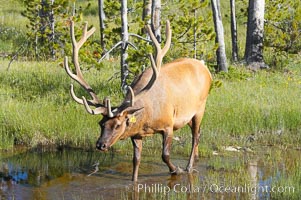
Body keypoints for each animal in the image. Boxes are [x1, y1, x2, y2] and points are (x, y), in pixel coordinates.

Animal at [64, 20, 212, 181]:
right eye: (101, 123)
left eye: (118, 125)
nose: (100, 145)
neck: (147, 118)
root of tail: (205, 68)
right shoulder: (136, 134)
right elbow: (136, 160)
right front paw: (133, 181)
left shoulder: (168, 125)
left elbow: (165, 155)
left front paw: (177, 170)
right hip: (189, 116)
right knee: (197, 133)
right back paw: (196, 159)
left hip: (200, 107)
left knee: (195, 136)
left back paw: (189, 167)